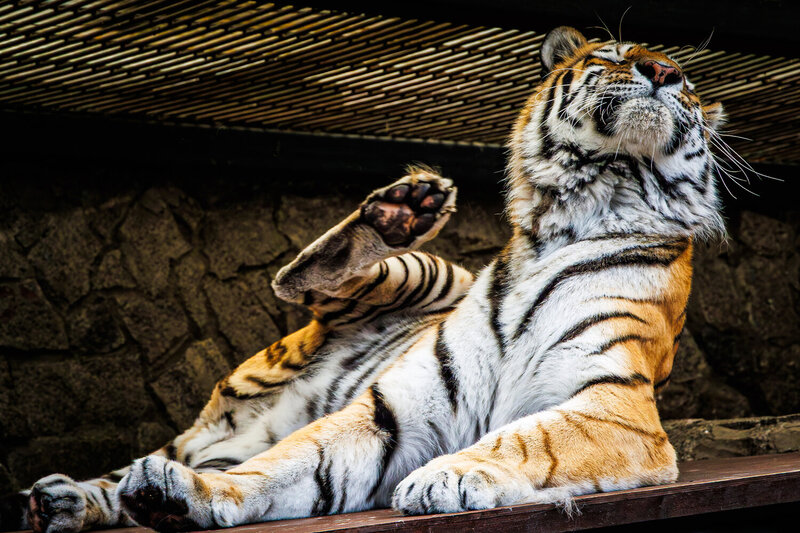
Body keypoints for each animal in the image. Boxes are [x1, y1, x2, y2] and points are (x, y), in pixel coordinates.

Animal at [0, 25, 729, 532]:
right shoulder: (391, 410)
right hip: (433, 273)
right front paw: (189, 493)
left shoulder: (616, 405)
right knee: (301, 284)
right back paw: (406, 206)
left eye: (689, 85)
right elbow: (290, 459)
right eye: (612, 54)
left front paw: (452, 474)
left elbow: (532, 436)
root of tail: (208, 428)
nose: (666, 71)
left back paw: (62, 500)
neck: (582, 206)